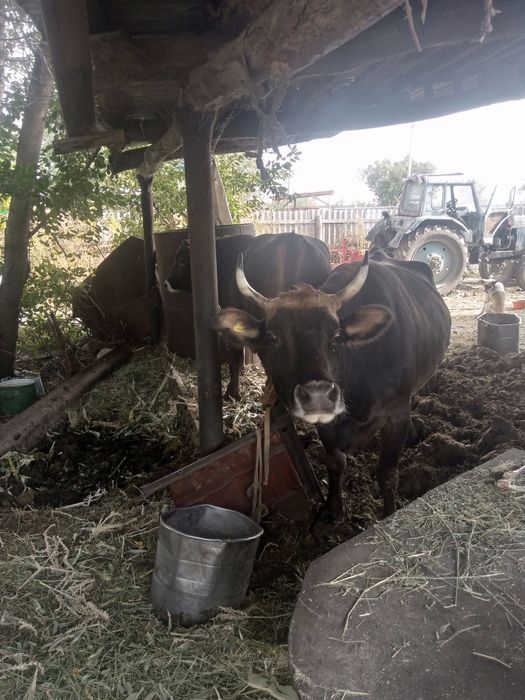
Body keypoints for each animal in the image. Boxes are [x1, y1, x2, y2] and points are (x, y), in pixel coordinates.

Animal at [215, 250, 451, 522]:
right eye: (272, 337)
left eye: (337, 335)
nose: (317, 395)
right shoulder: (326, 423)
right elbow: (335, 463)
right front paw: (332, 507)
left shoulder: (397, 414)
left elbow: (387, 473)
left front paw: (389, 513)